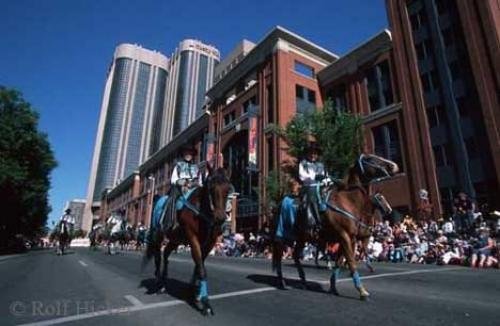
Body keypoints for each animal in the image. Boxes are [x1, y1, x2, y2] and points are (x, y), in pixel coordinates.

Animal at [143, 167, 232, 314]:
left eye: (228, 188)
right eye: (211, 187)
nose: (220, 218)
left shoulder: (209, 243)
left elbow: (198, 266)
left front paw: (194, 294)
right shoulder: (193, 238)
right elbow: (201, 269)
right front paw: (206, 303)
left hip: (174, 240)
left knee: (165, 254)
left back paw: (164, 281)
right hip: (158, 235)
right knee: (157, 256)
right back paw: (158, 283)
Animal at [274, 154, 398, 300]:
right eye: (370, 159)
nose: (394, 166)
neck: (349, 201)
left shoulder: (352, 238)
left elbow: (341, 261)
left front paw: (333, 287)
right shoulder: (344, 236)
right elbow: (351, 262)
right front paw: (362, 291)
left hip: (302, 238)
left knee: (296, 256)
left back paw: (304, 282)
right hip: (282, 237)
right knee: (279, 258)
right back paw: (282, 282)